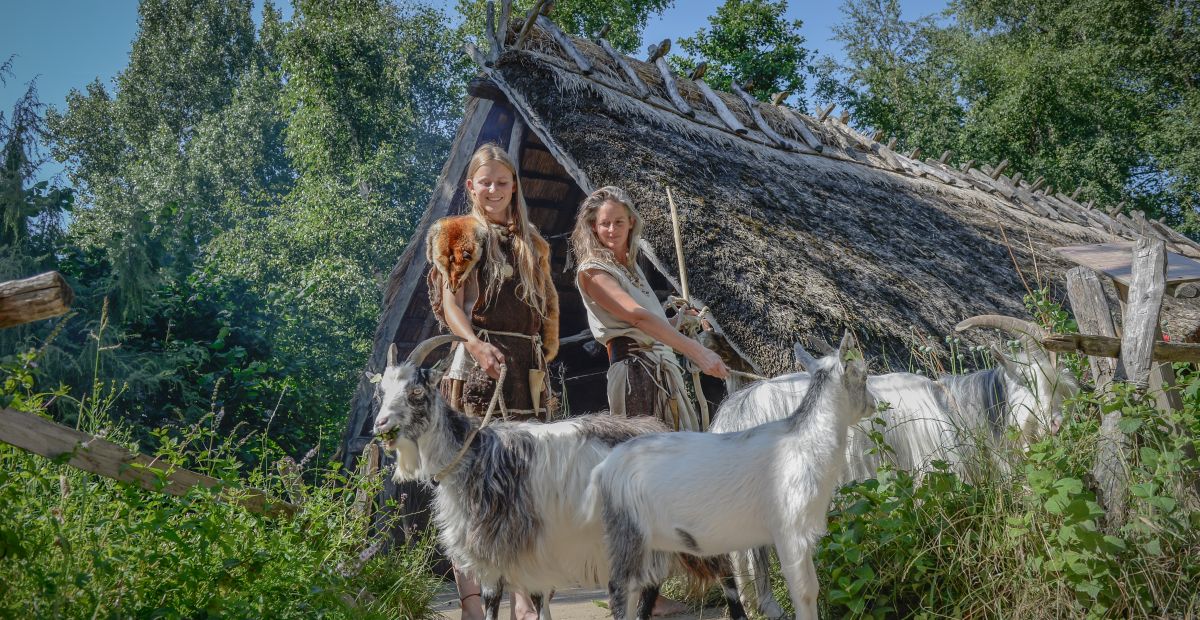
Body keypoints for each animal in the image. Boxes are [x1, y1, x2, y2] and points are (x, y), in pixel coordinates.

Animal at [369, 338, 744, 618]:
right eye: (381, 392)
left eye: (417, 392)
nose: (381, 425)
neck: (470, 454)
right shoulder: (530, 549)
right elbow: (537, 600)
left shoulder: (495, 545)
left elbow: (493, 600)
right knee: (653, 583)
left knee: (724, 572)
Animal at [590, 333, 873, 618]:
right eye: (863, 376)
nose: (874, 404)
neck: (805, 442)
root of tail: (606, 467)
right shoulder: (790, 530)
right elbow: (805, 591)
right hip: (629, 534)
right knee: (621, 588)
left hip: (656, 541)